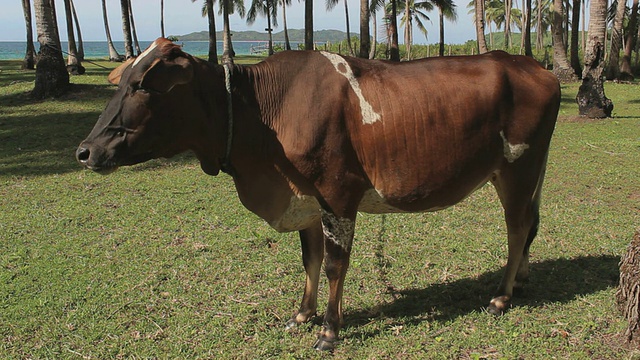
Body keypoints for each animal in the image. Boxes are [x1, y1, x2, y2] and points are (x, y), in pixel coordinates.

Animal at [77, 38, 560, 350]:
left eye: (142, 85)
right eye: (122, 82)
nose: (85, 151)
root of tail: (534, 66)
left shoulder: (338, 194)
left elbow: (333, 265)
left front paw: (329, 330)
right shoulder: (305, 201)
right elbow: (308, 260)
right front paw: (303, 314)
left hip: (519, 168)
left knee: (518, 228)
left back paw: (501, 295)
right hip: (522, 172)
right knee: (530, 225)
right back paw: (520, 279)